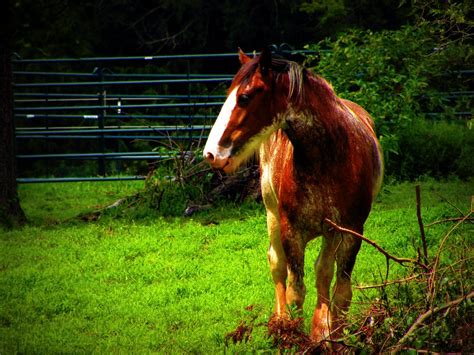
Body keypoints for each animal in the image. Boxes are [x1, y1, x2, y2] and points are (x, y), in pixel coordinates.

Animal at [202, 48, 384, 344]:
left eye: (244, 97)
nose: (211, 154)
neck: (329, 157)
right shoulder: (292, 231)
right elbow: (295, 289)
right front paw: (292, 336)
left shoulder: (350, 231)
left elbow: (340, 291)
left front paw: (330, 335)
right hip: (273, 217)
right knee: (277, 264)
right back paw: (280, 320)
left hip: (331, 233)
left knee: (323, 272)